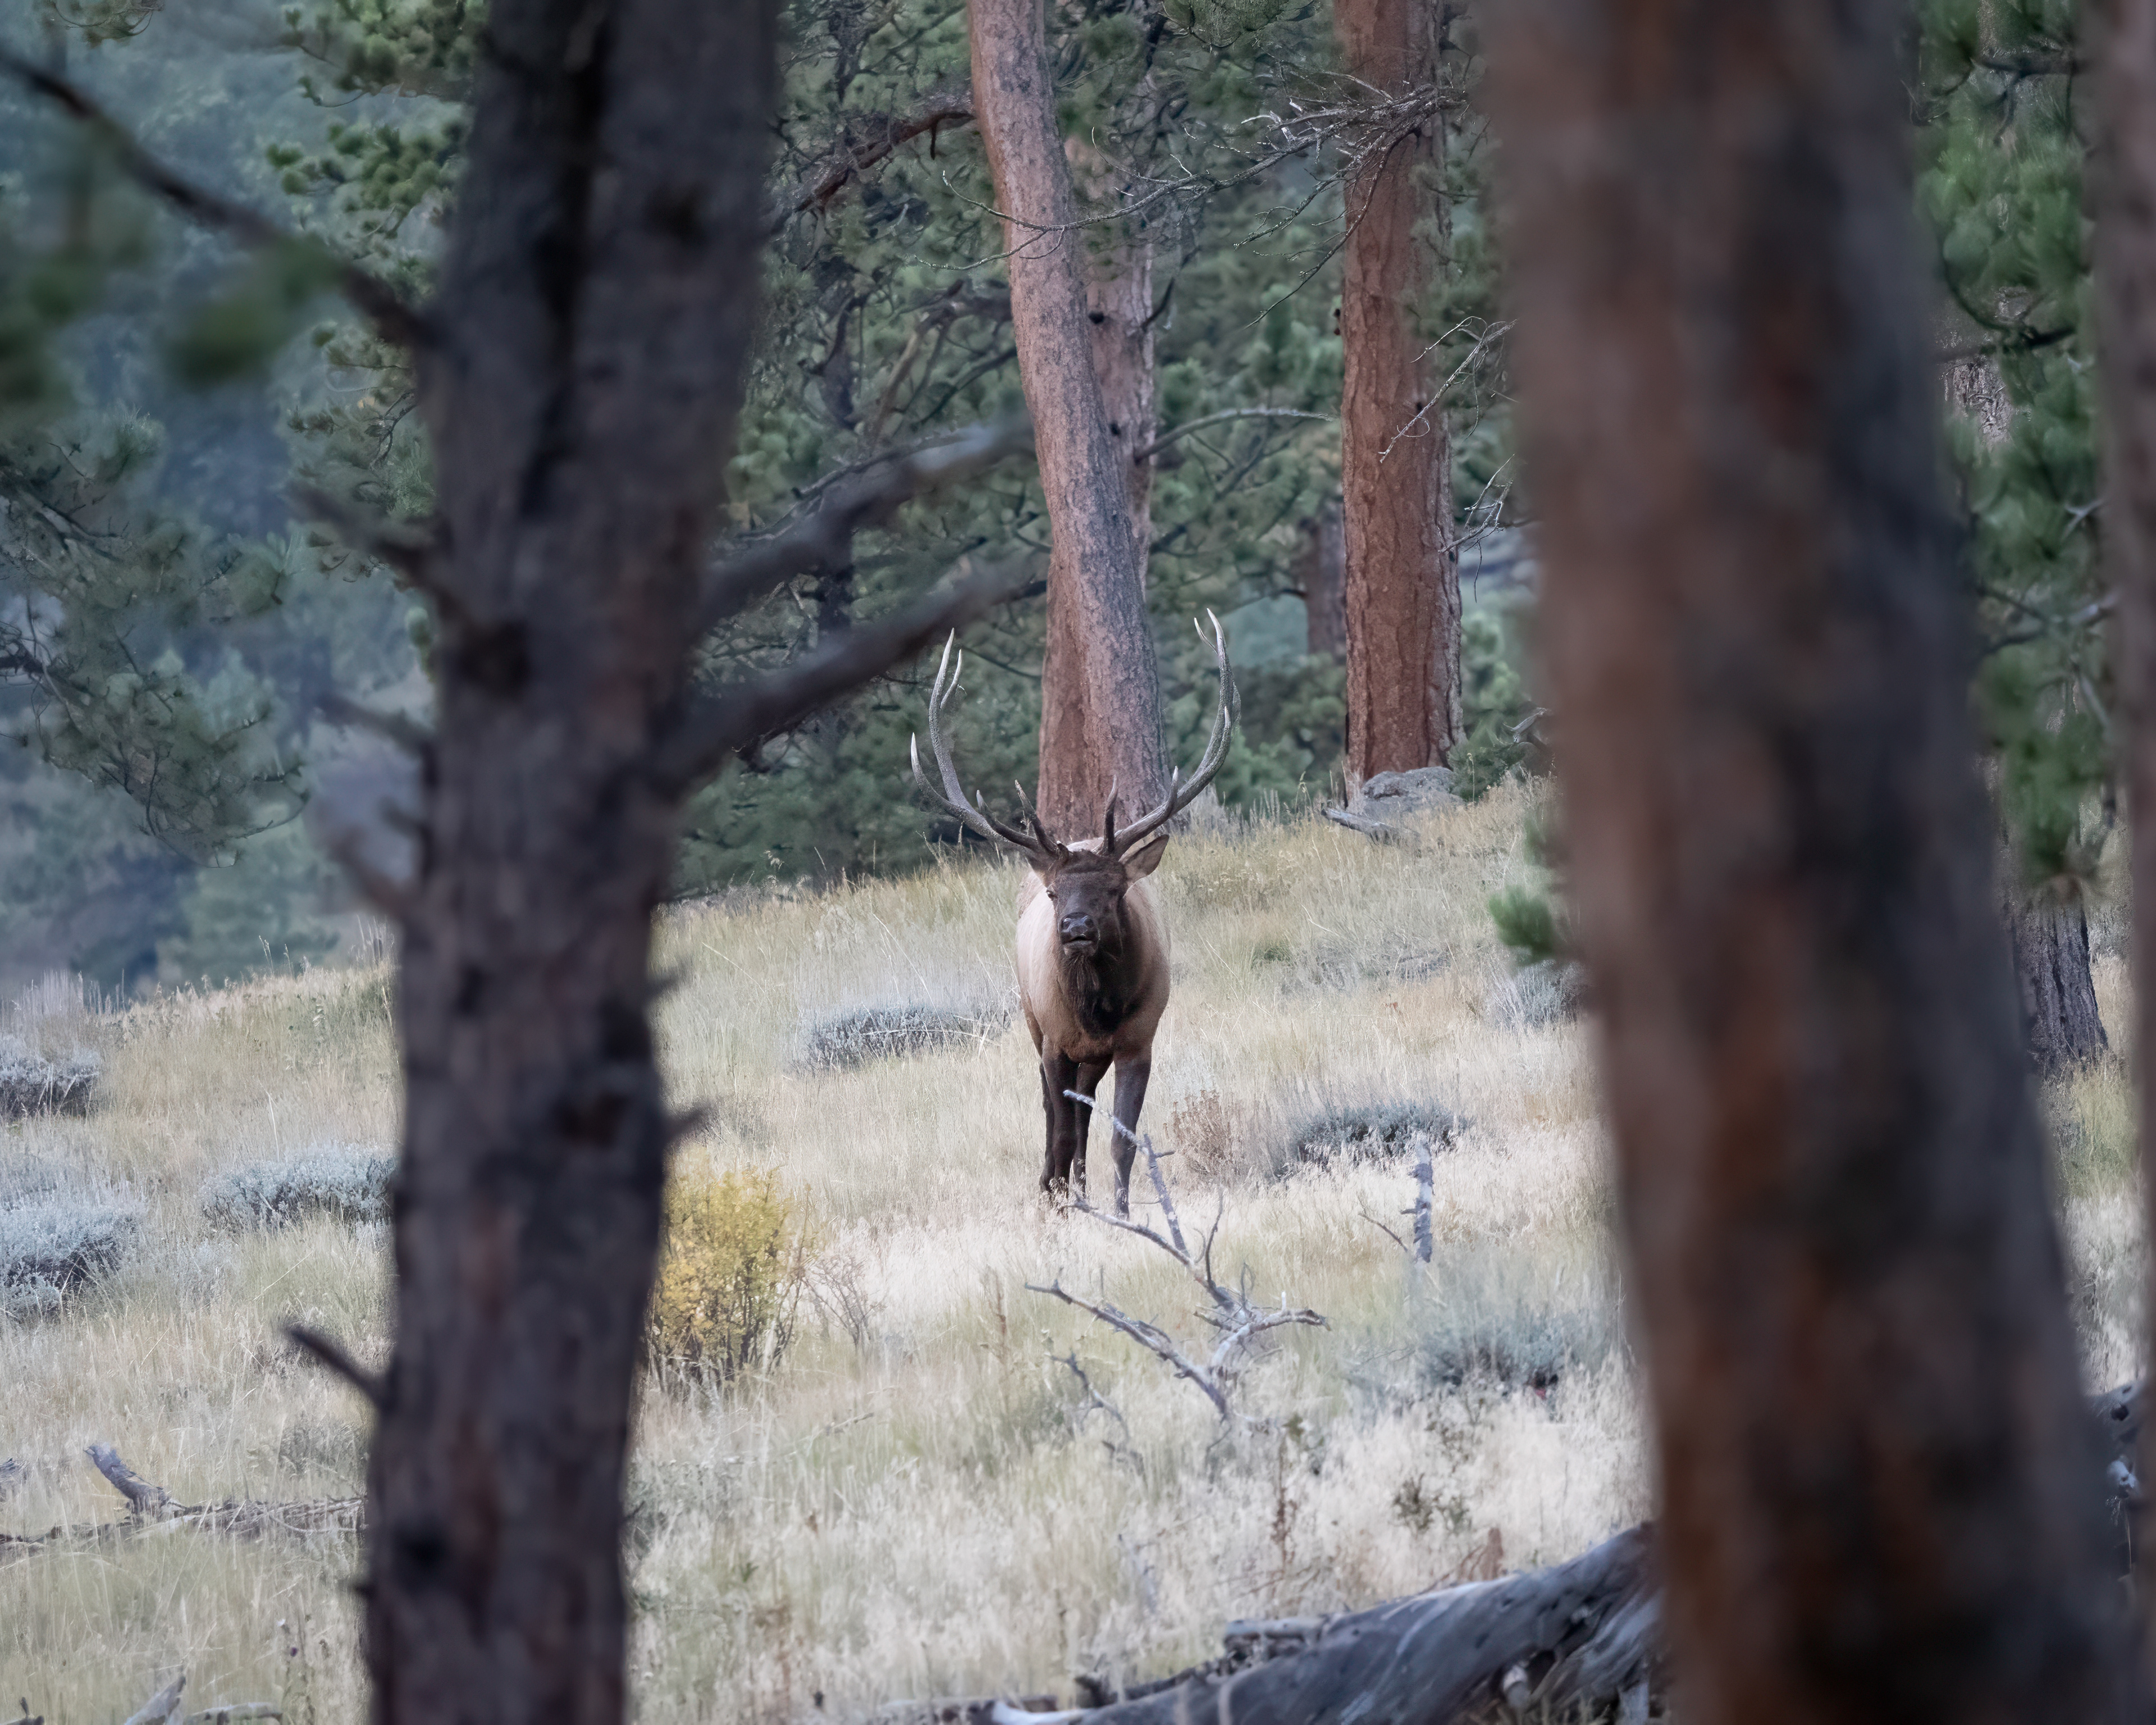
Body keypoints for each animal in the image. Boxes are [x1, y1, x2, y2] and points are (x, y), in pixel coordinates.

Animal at [911, 616, 1238, 1216]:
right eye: (1055, 893)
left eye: (1114, 889)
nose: (1077, 930)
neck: (1097, 1011)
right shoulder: (1055, 1040)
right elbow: (1059, 1126)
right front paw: (1055, 1201)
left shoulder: (1138, 1040)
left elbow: (1122, 1137)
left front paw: (1119, 1211)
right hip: (1030, 1017)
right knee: (1053, 1108)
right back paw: (1054, 1184)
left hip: (1091, 1053)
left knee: (1085, 1107)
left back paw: (1080, 1186)